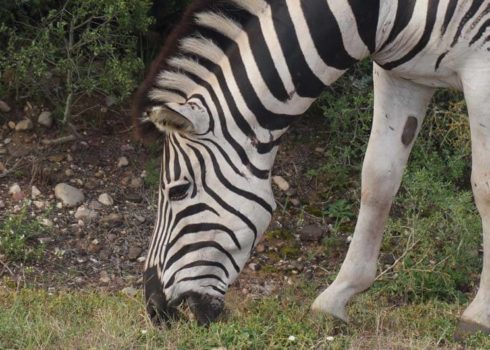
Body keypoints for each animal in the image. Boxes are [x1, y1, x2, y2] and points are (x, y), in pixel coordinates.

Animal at [133, 0, 490, 334]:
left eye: (178, 191)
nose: (155, 310)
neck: (378, 13)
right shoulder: (402, 75)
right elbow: (378, 179)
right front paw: (337, 296)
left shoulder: (482, 71)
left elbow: (484, 189)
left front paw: (479, 315)